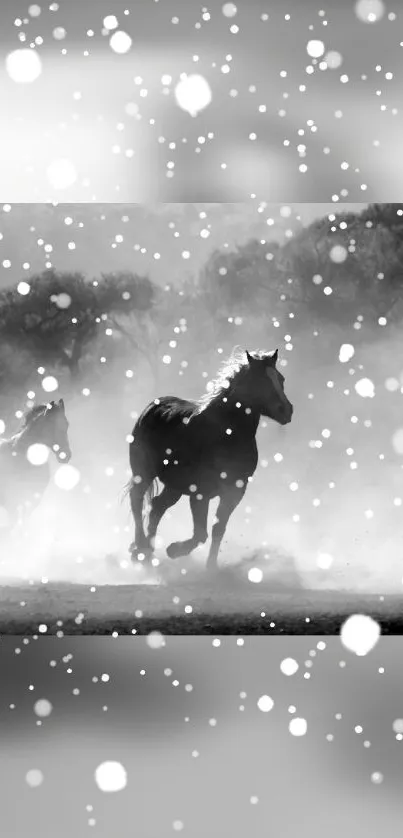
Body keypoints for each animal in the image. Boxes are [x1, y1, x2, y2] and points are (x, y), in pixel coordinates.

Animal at [126, 346, 294, 572]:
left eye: (280, 379)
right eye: (260, 380)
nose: (286, 410)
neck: (226, 434)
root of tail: (152, 407)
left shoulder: (235, 490)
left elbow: (217, 529)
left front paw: (211, 567)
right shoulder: (200, 492)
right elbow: (200, 533)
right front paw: (174, 550)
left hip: (174, 486)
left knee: (157, 506)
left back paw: (148, 552)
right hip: (143, 473)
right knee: (137, 500)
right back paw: (141, 547)